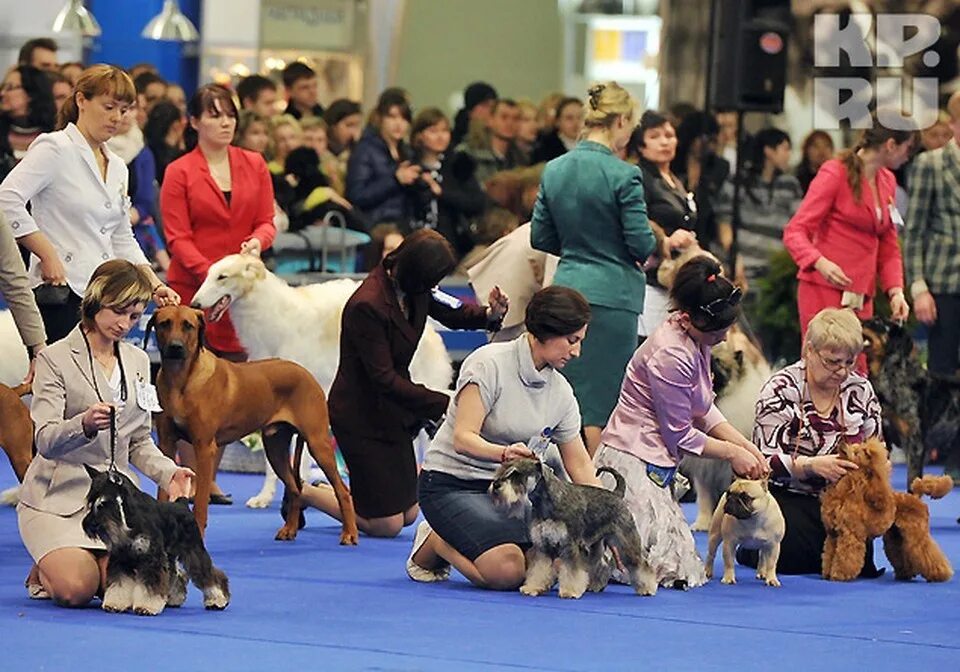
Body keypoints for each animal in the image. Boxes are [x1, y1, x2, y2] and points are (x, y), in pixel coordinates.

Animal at [146, 308, 360, 544]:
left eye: (188, 325)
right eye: (164, 323)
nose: (175, 347)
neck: (180, 380)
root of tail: (306, 373)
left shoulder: (204, 448)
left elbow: (201, 502)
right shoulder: (166, 443)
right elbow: (163, 489)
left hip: (318, 442)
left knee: (342, 491)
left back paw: (349, 533)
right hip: (275, 447)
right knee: (295, 488)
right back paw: (289, 530)